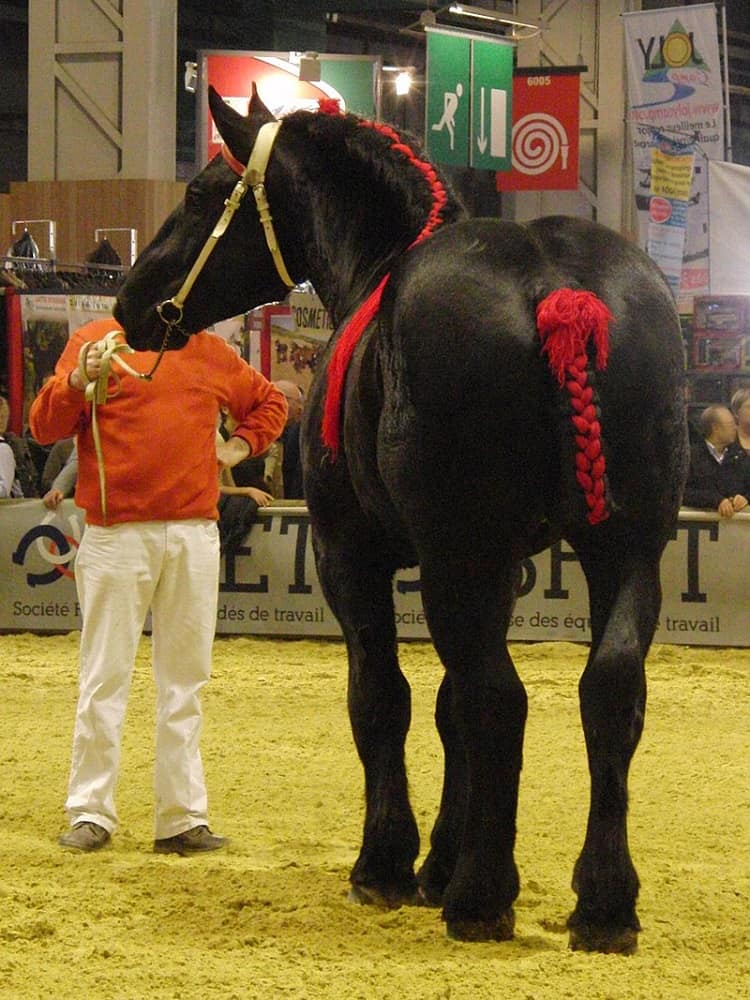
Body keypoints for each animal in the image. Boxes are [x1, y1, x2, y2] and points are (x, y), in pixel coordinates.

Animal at [114, 88, 692, 952]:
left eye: (199, 195)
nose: (129, 303)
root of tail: (554, 288)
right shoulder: (502, 569)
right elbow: (449, 708)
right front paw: (437, 864)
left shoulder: (350, 556)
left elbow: (385, 696)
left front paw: (390, 865)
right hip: (625, 554)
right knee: (610, 691)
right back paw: (603, 904)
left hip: (463, 558)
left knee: (499, 698)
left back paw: (482, 897)